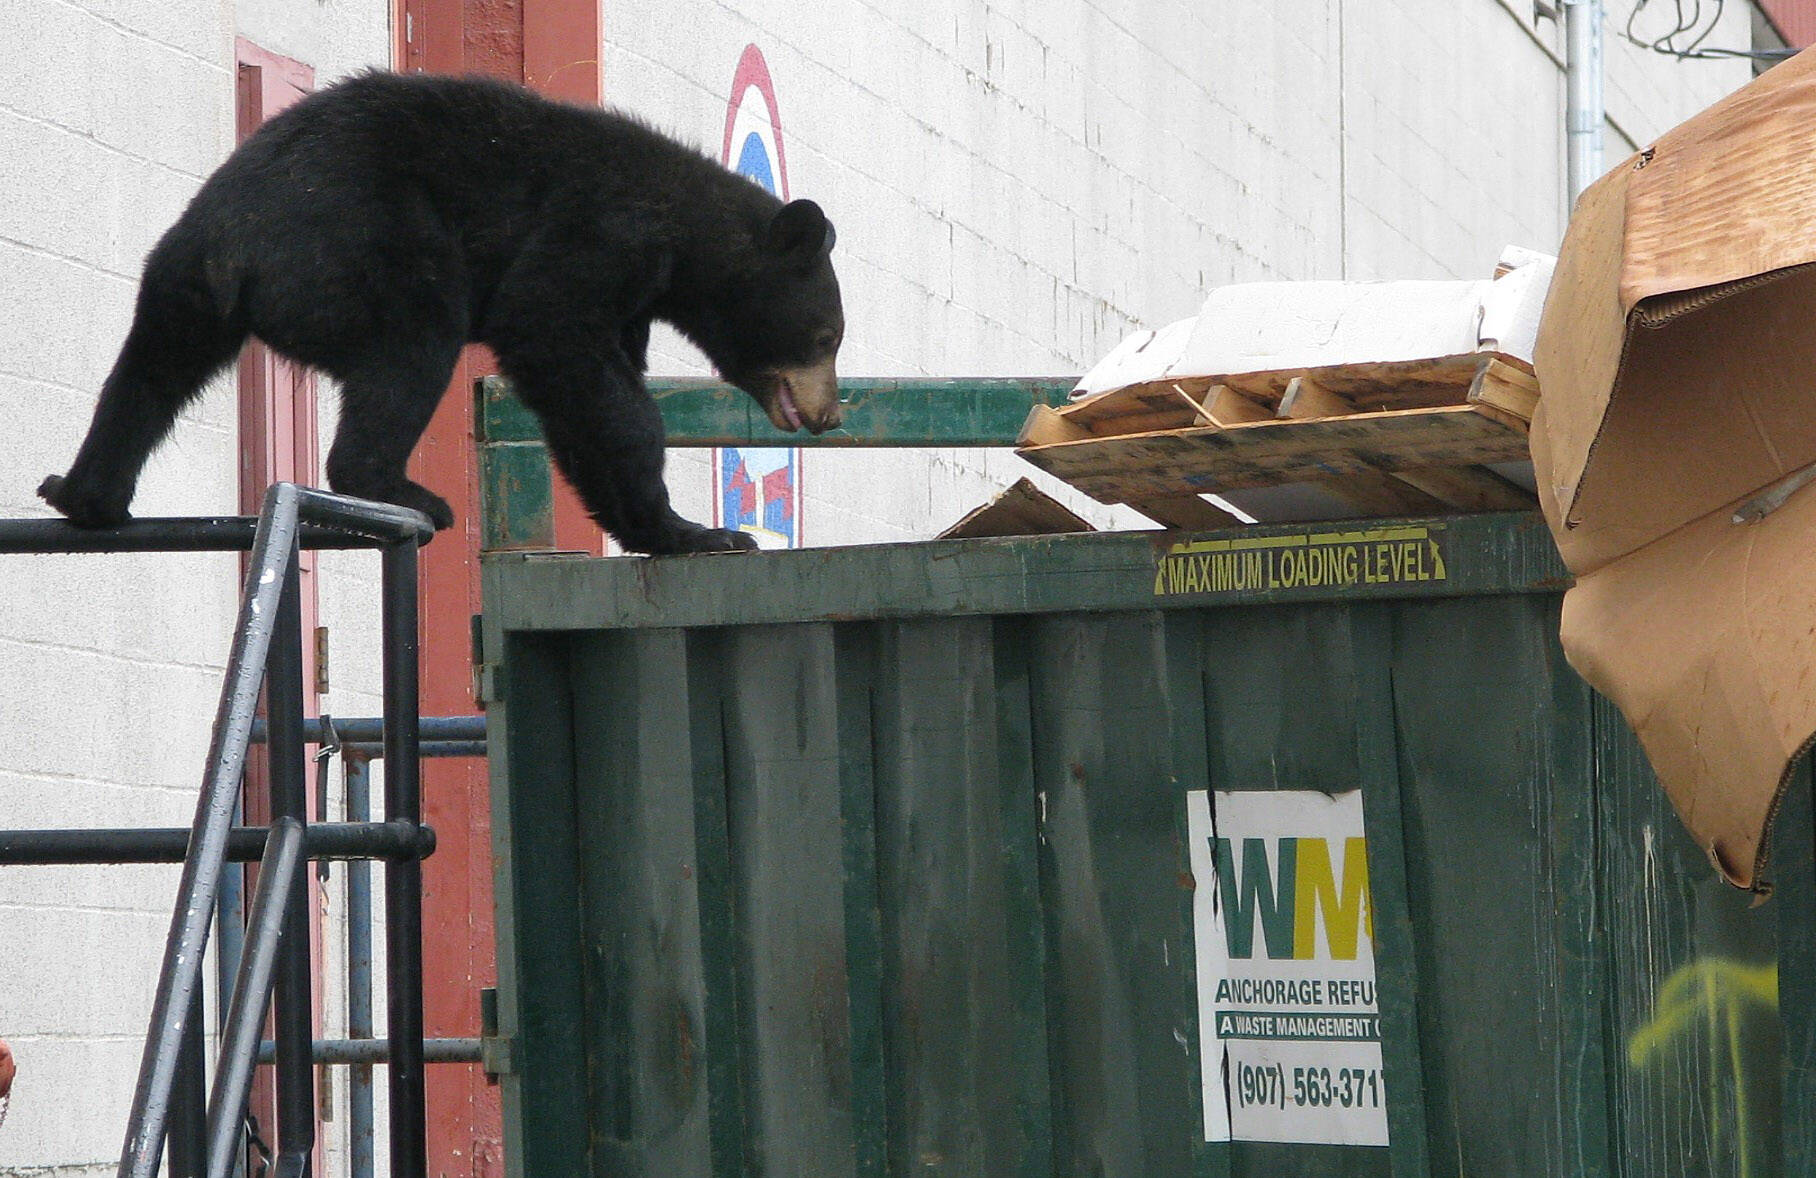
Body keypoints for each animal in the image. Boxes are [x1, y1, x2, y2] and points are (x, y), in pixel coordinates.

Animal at [35, 69, 842, 555]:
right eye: (828, 333)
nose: (830, 412)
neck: (684, 236)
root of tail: (237, 246)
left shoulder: (631, 298)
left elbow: (580, 393)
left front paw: (649, 525)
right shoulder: (604, 235)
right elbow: (553, 334)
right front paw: (702, 531)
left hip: (179, 277)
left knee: (149, 374)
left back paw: (85, 494)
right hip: (364, 251)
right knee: (414, 347)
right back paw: (398, 487)